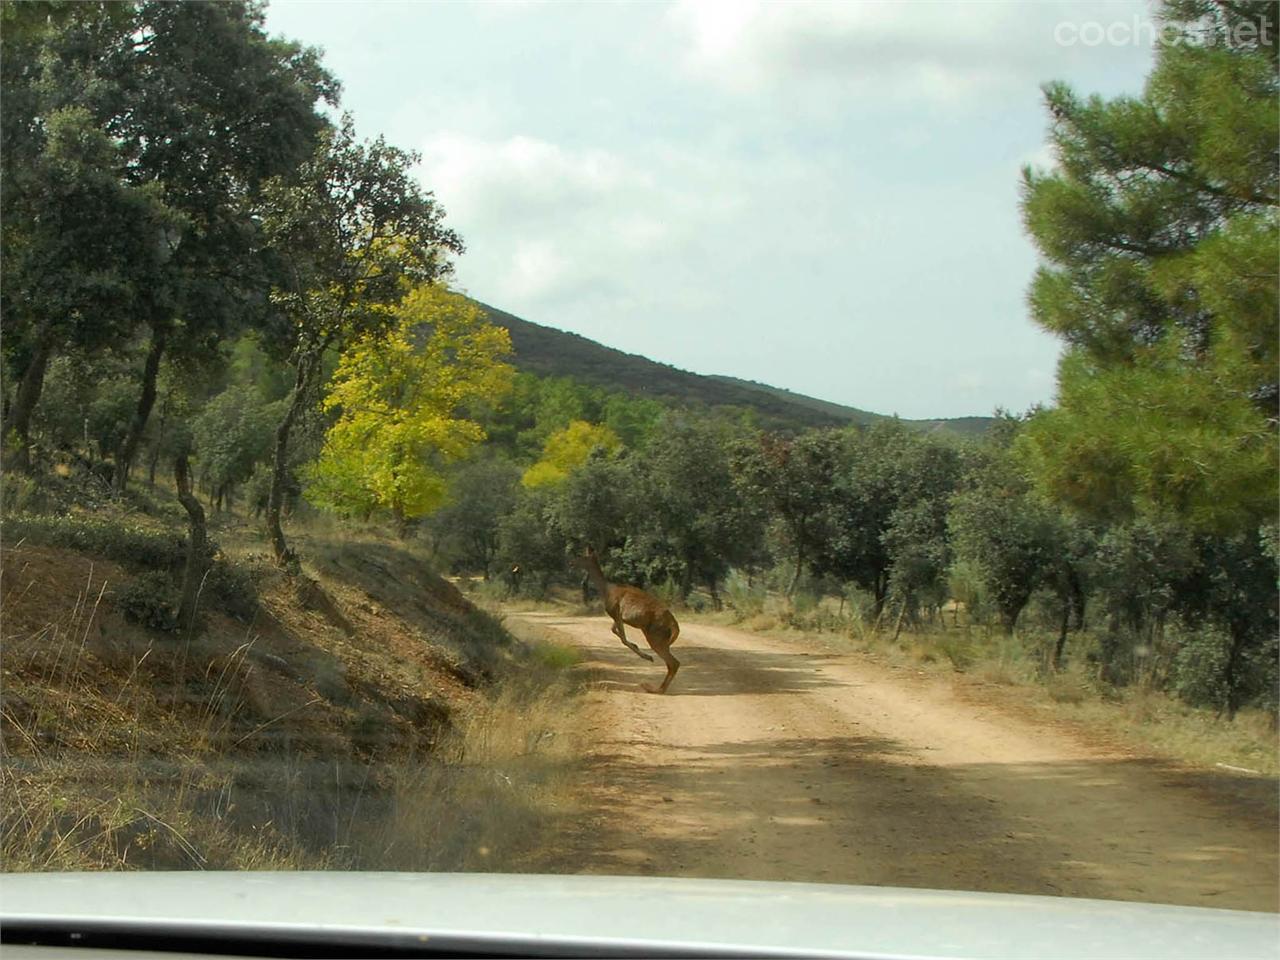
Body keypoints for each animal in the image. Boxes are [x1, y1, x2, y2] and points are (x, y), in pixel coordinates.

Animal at [581, 547, 680, 691]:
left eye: (582, 557)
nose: (570, 562)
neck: (605, 590)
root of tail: (675, 627)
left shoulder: (614, 611)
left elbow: (622, 637)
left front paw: (647, 656)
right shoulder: (618, 616)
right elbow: (615, 630)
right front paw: (637, 646)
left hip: (655, 636)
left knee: (673, 662)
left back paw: (654, 688)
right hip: (658, 637)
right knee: (673, 662)